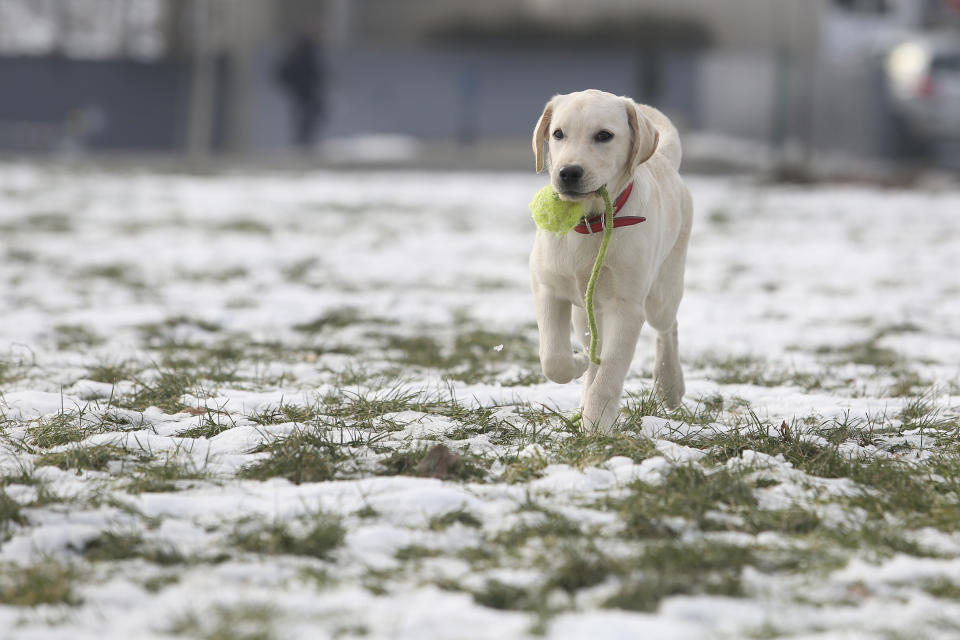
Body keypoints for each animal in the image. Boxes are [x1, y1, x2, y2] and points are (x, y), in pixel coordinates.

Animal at [528, 87, 692, 432]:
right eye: (558, 134)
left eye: (604, 135)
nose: (568, 172)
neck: (592, 223)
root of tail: (663, 160)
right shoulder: (547, 287)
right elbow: (553, 358)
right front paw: (576, 362)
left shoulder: (626, 307)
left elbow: (610, 374)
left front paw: (596, 426)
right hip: (585, 314)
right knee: (594, 349)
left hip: (662, 292)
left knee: (667, 328)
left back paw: (670, 386)